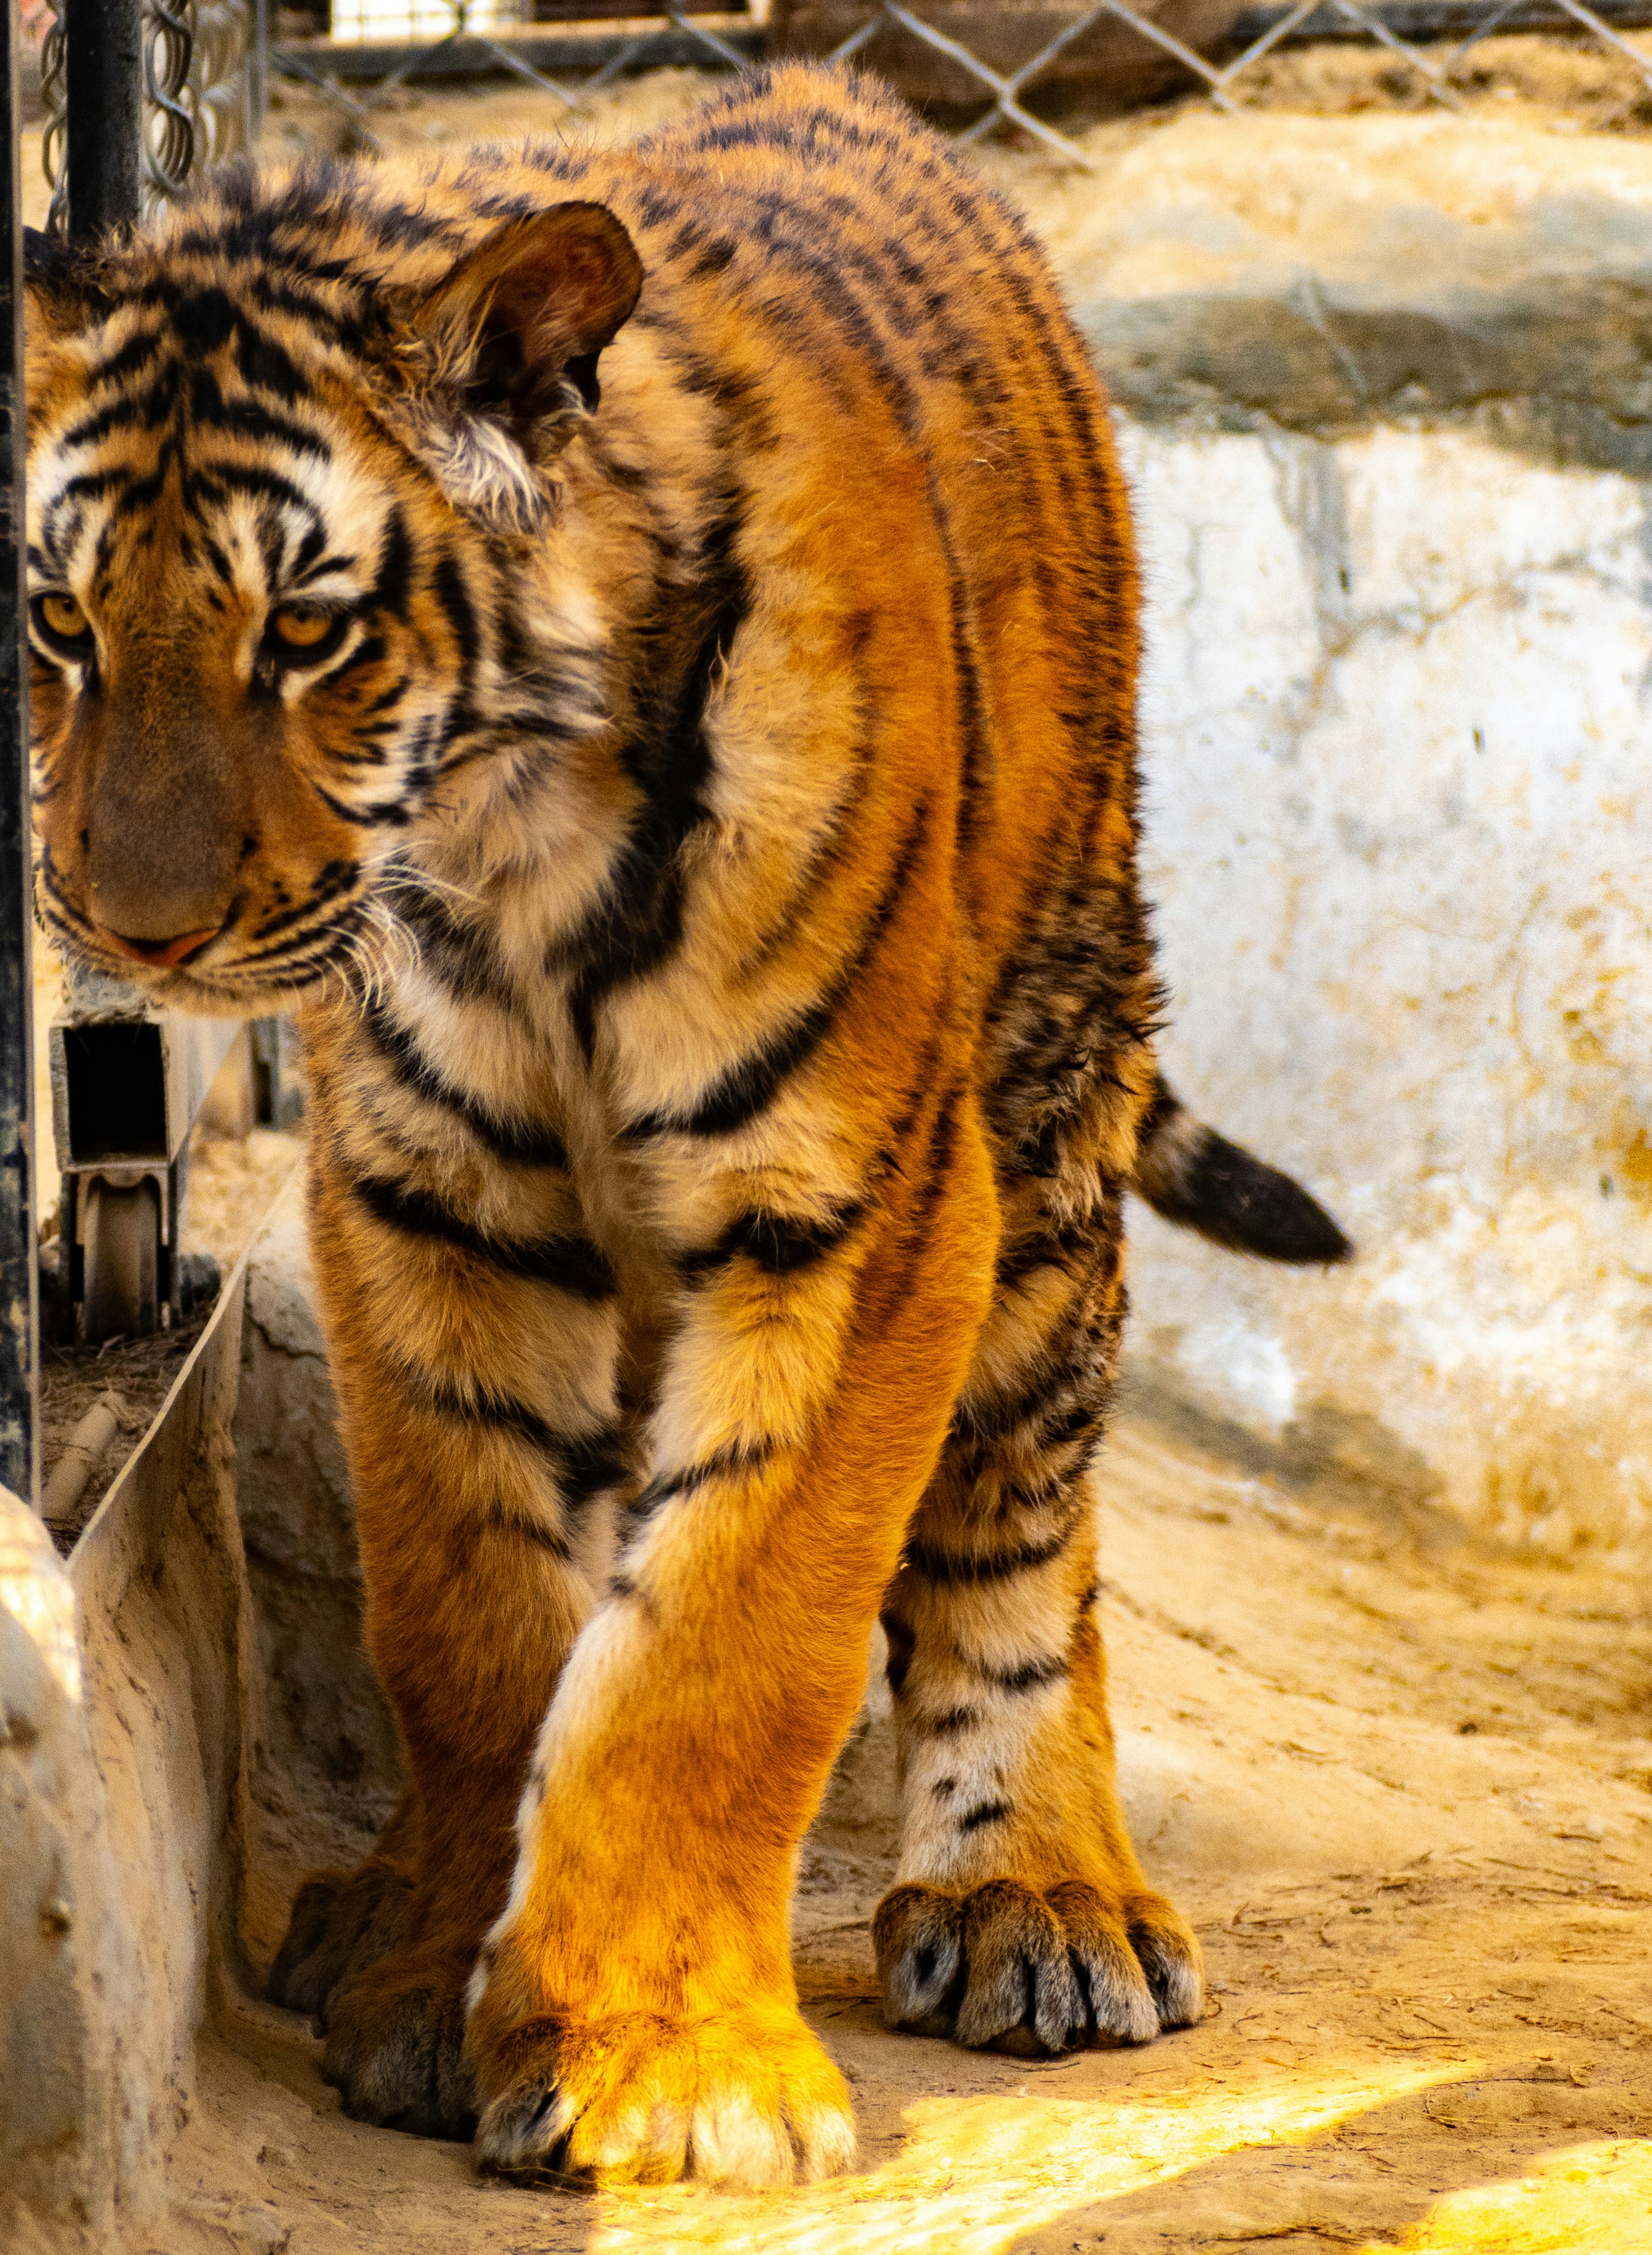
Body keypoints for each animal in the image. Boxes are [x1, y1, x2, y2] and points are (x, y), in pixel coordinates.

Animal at [24, 65, 1349, 2189]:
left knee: (1026, 1523)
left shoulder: (864, 1210)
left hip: (1050, 1088)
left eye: (308, 636)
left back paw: (1037, 1897)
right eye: (61, 620)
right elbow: (476, 1617)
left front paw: (664, 2069)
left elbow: (723, 1642)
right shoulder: (429, 1200)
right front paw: (431, 1981)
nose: (126, 928)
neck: (509, 858)